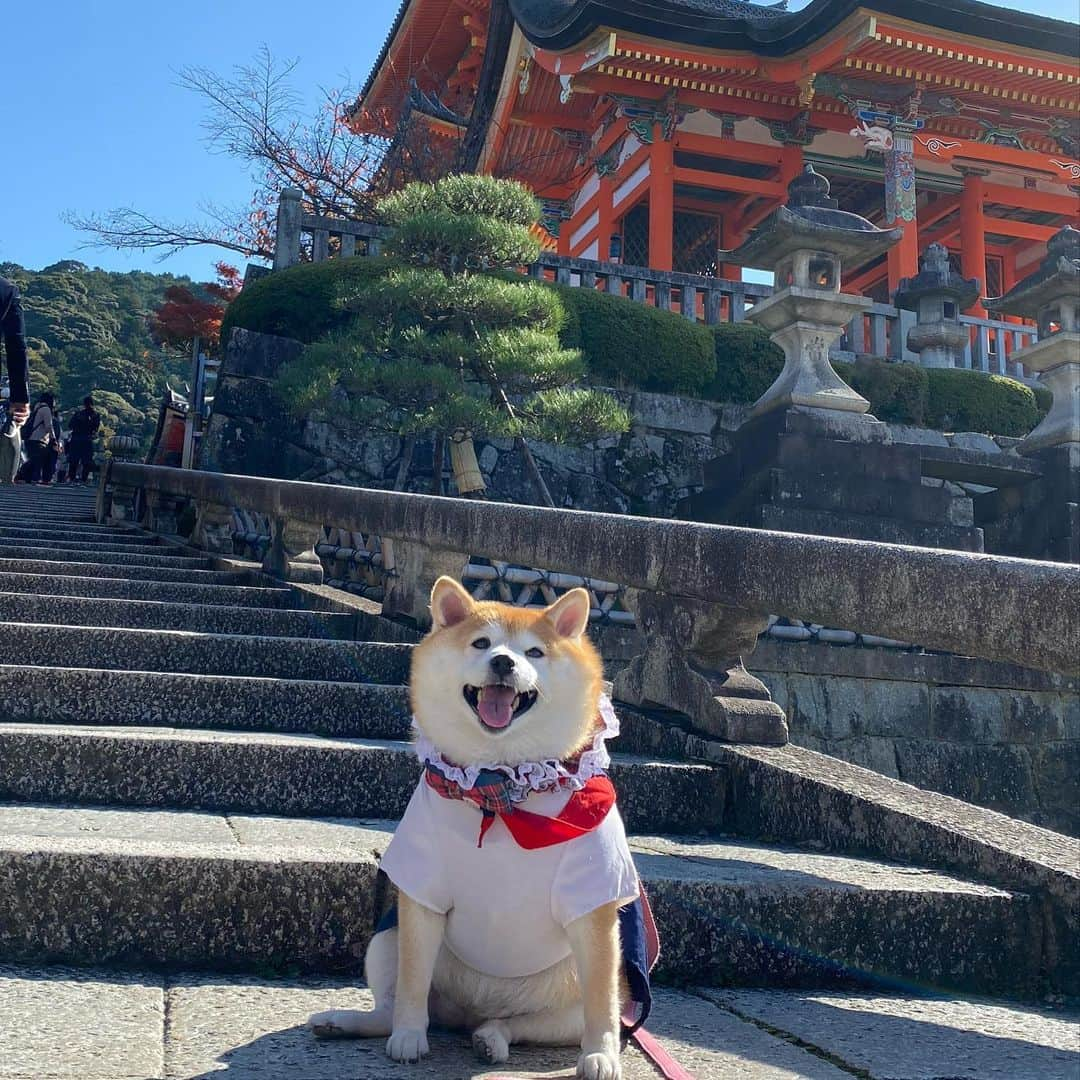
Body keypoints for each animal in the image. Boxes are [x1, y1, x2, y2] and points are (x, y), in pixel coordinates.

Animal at [313, 578, 648, 1075]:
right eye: (481, 643)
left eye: (535, 652)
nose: (504, 662)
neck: (501, 787)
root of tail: (467, 1013)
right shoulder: (421, 891)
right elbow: (412, 984)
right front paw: (408, 1037)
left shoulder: (594, 900)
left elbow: (601, 1002)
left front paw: (601, 1055)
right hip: (385, 941)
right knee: (400, 1003)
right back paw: (350, 1023)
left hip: (571, 1003)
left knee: (524, 1024)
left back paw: (492, 1038)